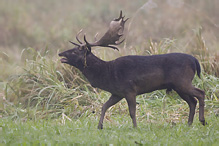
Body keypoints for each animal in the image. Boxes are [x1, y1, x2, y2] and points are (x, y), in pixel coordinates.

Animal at [58, 10, 205, 129]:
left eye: (76, 51)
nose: (60, 54)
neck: (107, 74)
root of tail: (195, 60)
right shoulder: (117, 93)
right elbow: (104, 106)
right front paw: (100, 126)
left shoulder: (129, 90)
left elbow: (132, 111)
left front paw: (135, 127)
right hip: (177, 86)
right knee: (192, 101)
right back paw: (189, 123)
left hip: (182, 81)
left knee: (200, 93)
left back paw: (202, 121)